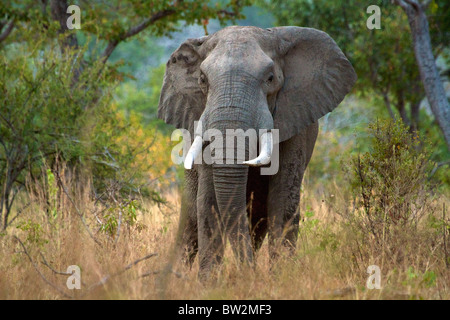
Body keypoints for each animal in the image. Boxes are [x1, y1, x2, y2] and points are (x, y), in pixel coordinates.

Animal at [156, 25, 356, 278]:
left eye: (270, 79)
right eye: (202, 79)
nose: (247, 272)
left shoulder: (295, 119)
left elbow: (283, 202)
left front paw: (280, 277)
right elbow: (208, 203)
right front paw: (210, 282)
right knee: (191, 221)